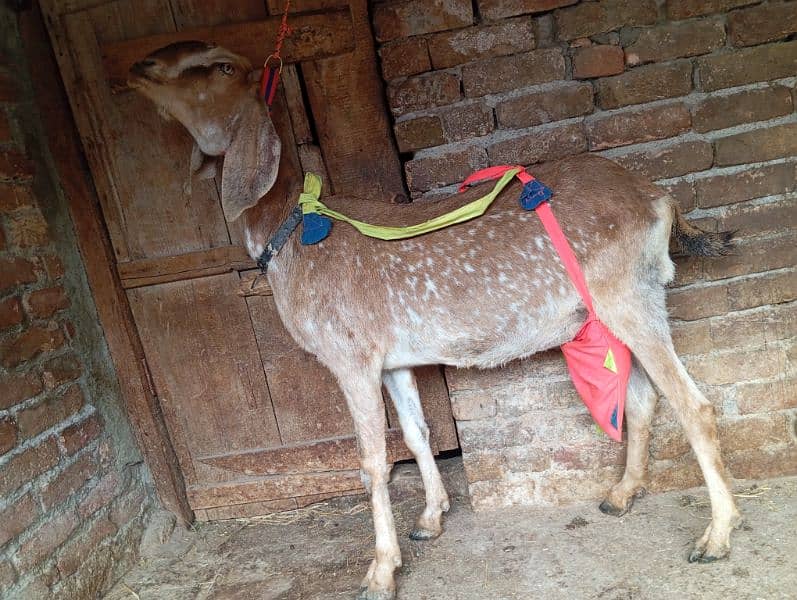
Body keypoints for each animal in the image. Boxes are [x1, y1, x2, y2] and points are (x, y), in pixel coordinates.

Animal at [127, 42, 744, 600]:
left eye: (222, 66)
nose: (139, 67)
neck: (291, 233)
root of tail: (655, 196)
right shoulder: (392, 362)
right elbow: (417, 434)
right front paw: (431, 517)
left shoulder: (351, 358)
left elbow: (373, 461)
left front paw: (380, 571)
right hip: (618, 309)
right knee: (641, 399)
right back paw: (621, 494)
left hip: (629, 298)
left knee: (694, 406)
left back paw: (716, 536)